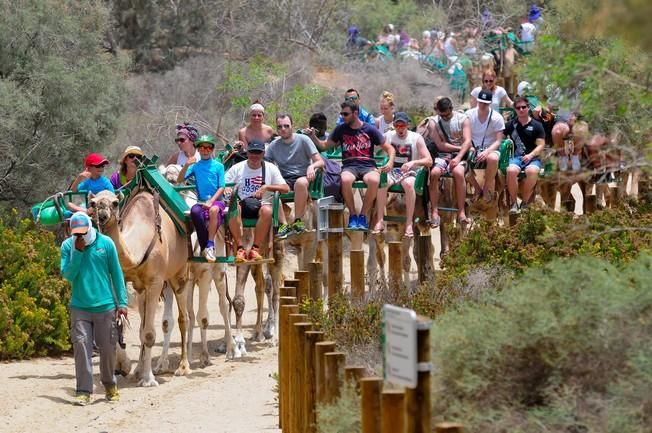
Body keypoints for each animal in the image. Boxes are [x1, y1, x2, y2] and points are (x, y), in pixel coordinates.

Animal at [93, 189, 192, 384]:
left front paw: (148, 379)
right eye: (92, 203)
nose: (102, 213)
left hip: (180, 275)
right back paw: (140, 368)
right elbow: (127, 327)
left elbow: (149, 334)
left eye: (115, 203)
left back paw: (183, 367)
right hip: (143, 290)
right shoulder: (123, 279)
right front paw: (123, 367)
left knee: (184, 318)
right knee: (144, 325)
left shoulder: (155, 282)